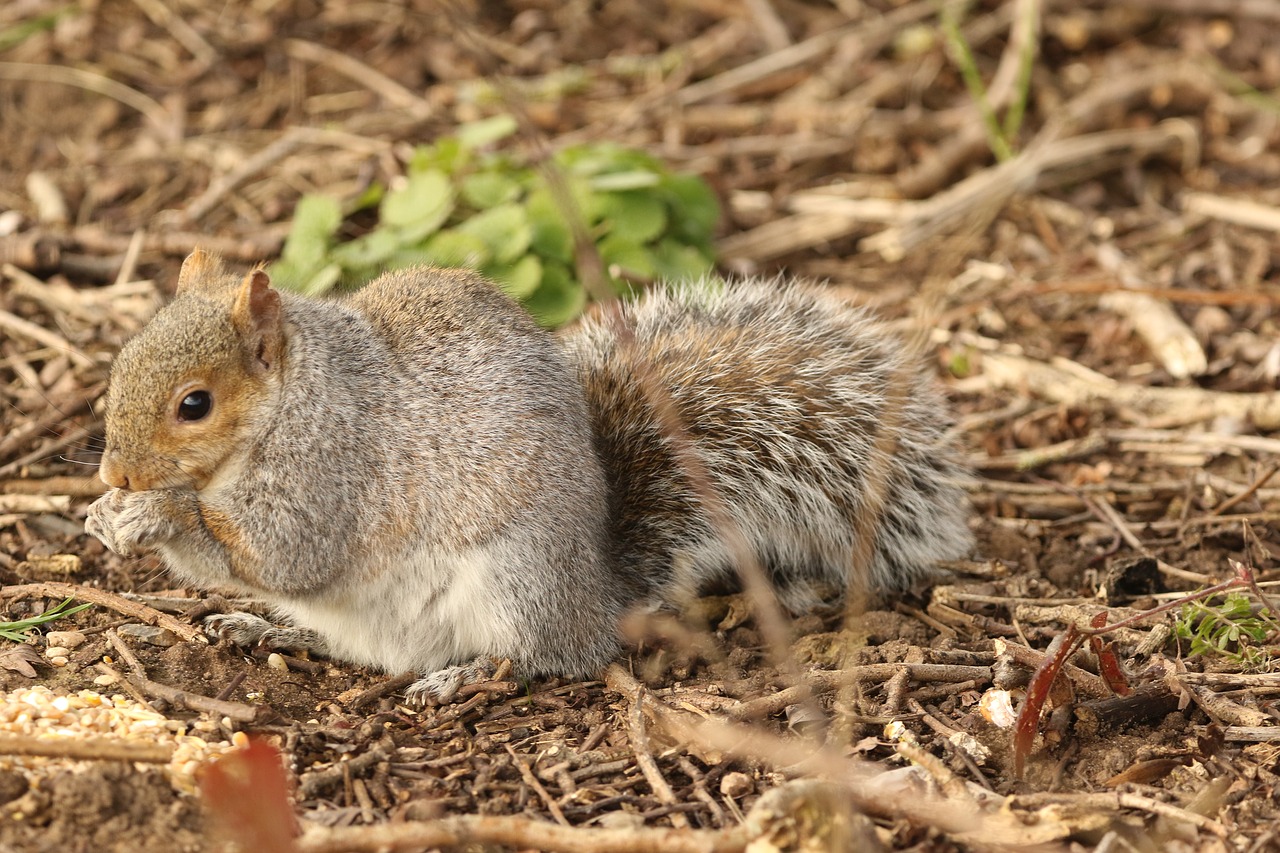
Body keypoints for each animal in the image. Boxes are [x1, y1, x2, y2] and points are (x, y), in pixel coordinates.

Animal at [85, 249, 972, 701]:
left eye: (194, 404)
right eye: (119, 362)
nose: (117, 471)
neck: (295, 400)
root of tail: (597, 593)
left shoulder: (331, 472)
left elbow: (280, 553)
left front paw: (160, 513)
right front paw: (107, 512)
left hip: (518, 578)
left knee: (548, 657)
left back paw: (469, 674)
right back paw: (272, 629)